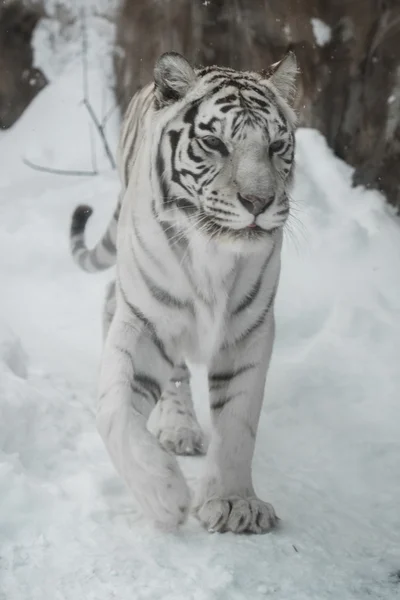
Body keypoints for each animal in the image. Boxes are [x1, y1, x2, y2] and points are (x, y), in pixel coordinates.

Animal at [70, 51, 298, 536]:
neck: (213, 253)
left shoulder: (249, 331)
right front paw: (163, 495)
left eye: (275, 146)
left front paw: (233, 503)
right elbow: (115, 410)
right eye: (214, 143)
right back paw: (177, 430)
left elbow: (238, 420)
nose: (259, 202)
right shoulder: (145, 322)